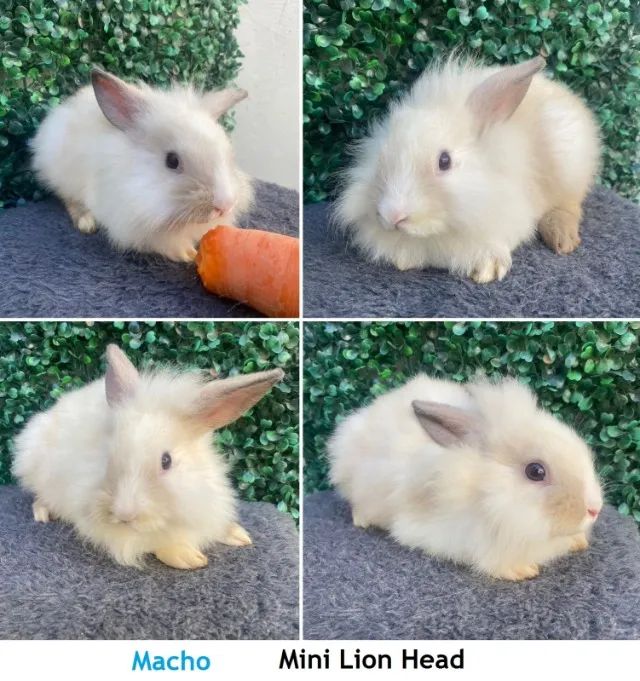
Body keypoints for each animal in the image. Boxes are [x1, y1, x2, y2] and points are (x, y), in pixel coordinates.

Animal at [12, 344, 284, 569]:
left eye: (167, 461)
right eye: (108, 456)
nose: (124, 515)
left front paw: (238, 534)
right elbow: (154, 544)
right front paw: (187, 556)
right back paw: (43, 513)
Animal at [328, 375, 603, 580]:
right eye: (535, 471)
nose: (594, 509)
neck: (480, 485)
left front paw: (579, 542)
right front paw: (521, 571)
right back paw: (362, 521)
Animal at [335, 55, 600, 283]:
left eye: (444, 161)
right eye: (382, 155)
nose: (393, 215)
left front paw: (487, 270)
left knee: (569, 206)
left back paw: (563, 239)